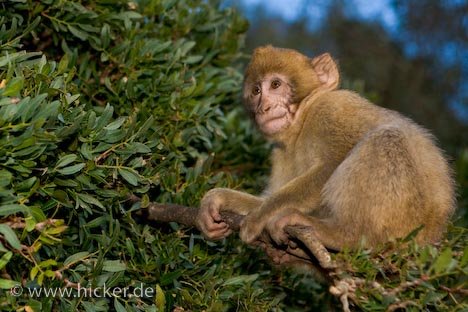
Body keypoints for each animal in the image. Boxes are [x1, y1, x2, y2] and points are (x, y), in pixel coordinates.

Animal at [196, 45, 456, 256]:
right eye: (257, 91)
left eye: (276, 85)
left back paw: (346, 235)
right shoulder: (280, 151)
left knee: (385, 140)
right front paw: (220, 199)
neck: (303, 119)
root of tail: (433, 236)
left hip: (408, 223)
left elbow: (333, 163)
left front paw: (260, 216)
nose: (264, 108)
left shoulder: (331, 109)